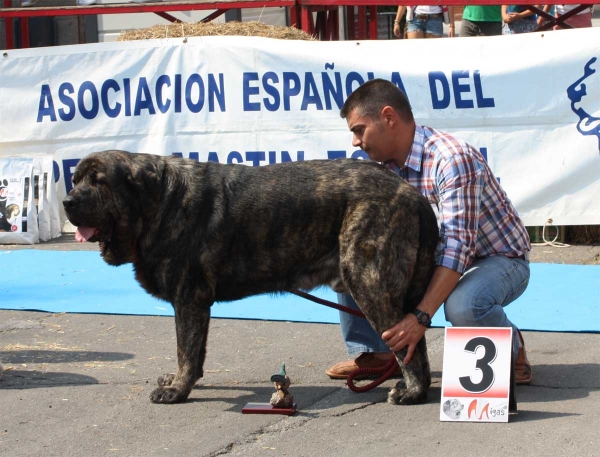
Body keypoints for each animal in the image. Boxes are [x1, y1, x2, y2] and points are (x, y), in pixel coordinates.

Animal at [63, 151, 438, 404]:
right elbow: (194, 352)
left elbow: (186, 349)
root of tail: (411, 193)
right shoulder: (196, 304)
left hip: (368, 281)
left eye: (99, 181)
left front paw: (177, 390)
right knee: (415, 338)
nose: (67, 202)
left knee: (403, 340)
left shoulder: (189, 298)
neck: (159, 203)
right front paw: (182, 381)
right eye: (75, 179)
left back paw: (412, 392)